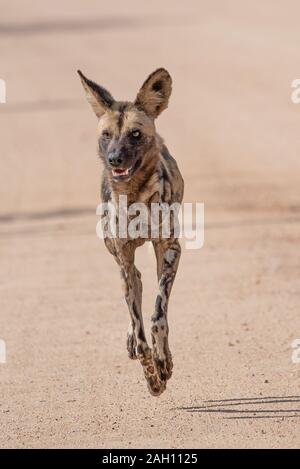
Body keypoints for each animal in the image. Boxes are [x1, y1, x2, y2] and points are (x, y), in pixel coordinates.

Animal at [78, 66, 184, 394]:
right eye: (106, 135)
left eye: (135, 134)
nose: (115, 159)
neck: (134, 194)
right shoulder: (123, 257)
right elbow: (138, 329)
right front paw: (152, 375)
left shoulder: (170, 249)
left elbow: (158, 316)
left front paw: (163, 364)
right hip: (119, 259)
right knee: (134, 284)